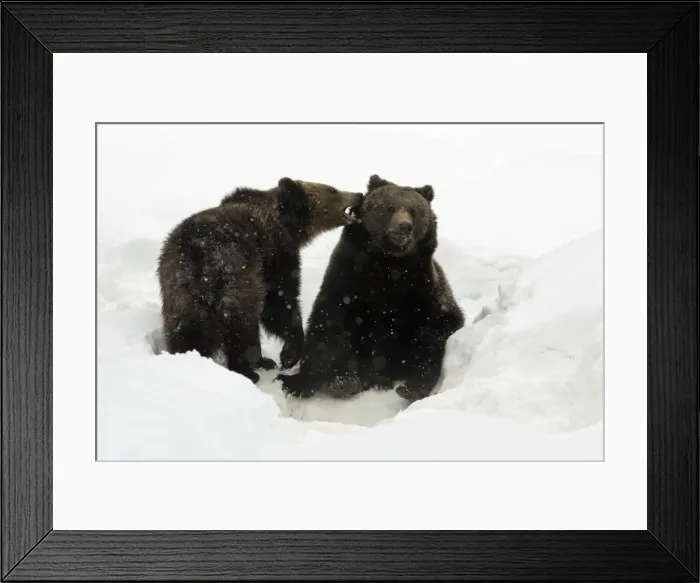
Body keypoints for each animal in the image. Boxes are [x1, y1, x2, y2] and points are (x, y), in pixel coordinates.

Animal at [157, 178, 364, 383]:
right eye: (332, 190)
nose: (358, 194)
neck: (287, 225)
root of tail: (200, 255)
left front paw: (273, 359)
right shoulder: (275, 257)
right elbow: (280, 302)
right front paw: (288, 355)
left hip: (178, 289)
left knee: (187, 330)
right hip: (236, 274)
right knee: (243, 325)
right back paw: (247, 371)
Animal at [278, 175, 464, 402]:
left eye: (414, 210)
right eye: (390, 207)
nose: (404, 227)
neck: (388, 264)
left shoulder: (421, 290)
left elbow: (433, 332)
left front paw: (415, 385)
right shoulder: (349, 280)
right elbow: (331, 324)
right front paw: (332, 381)